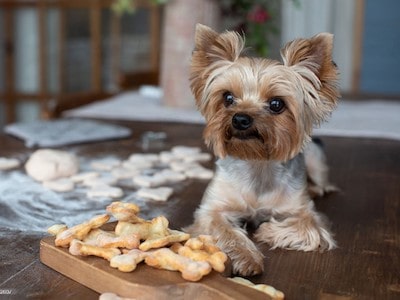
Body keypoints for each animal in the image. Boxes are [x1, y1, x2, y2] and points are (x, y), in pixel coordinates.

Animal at [186, 25, 340, 276]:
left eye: (277, 104)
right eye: (228, 97)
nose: (240, 119)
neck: (256, 161)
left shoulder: (305, 212)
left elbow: (309, 227)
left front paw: (266, 230)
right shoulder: (211, 210)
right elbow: (223, 229)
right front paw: (247, 257)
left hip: (316, 160)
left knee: (322, 183)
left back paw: (316, 188)